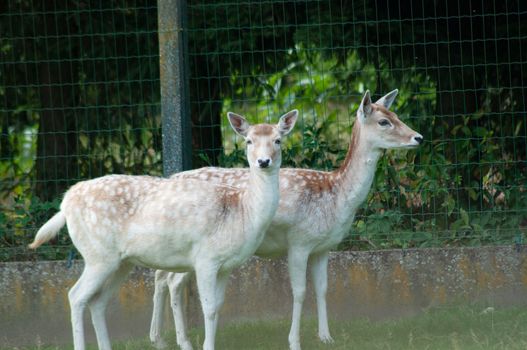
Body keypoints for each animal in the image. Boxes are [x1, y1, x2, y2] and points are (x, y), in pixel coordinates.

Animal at [28, 110, 300, 350]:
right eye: (248, 140)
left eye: (278, 139)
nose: (263, 161)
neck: (242, 211)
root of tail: (65, 203)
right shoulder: (206, 258)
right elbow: (209, 309)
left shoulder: (226, 265)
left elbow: (218, 306)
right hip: (97, 254)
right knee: (76, 296)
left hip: (120, 262)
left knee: (97, 301)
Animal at [148, 89, 424, 350]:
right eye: (383, 122)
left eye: (396, 115)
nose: (418, 137)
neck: (336, 196)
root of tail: (171, 177)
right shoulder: (299, 241)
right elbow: (300, 292)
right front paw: (294, 341)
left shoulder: (323, 247)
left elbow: (323, 288)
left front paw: (327, 337)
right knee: (172, 281)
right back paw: (181, 341)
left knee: (161, 276)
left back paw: (159, 339)